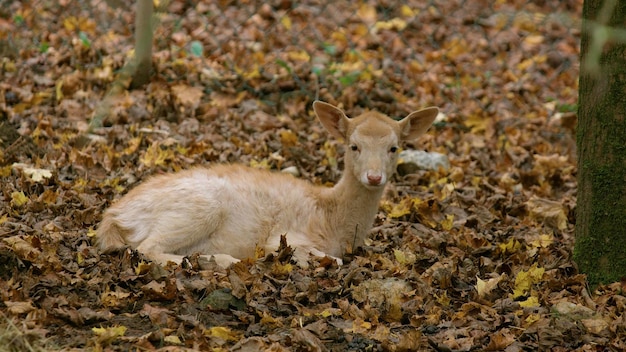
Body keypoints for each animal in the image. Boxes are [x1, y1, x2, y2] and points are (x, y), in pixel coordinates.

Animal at [96, 101, 438, 266]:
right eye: (353, 146)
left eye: (394, 148)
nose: (374, 176)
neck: (332, 218)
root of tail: (113, 217)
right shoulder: (289, 236)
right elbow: (334, 261)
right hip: (197, 208)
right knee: (146, 247)